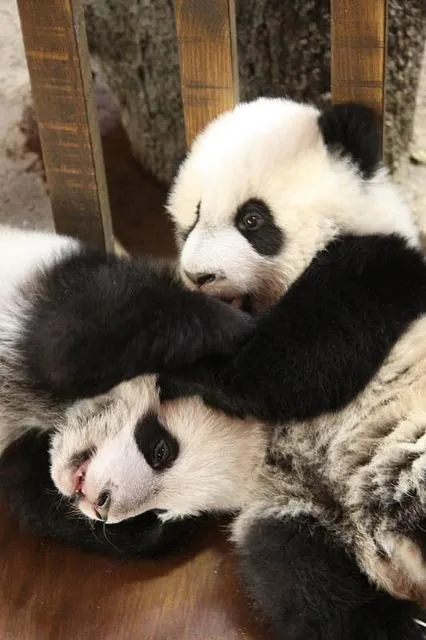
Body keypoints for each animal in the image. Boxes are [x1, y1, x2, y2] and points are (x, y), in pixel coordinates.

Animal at [0, 224, 253, 555]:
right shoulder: (66, 287)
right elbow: (73, 339)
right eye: (161, 450)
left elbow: (34, 497)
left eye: (160, 509)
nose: (100, 505)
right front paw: (237, 326)